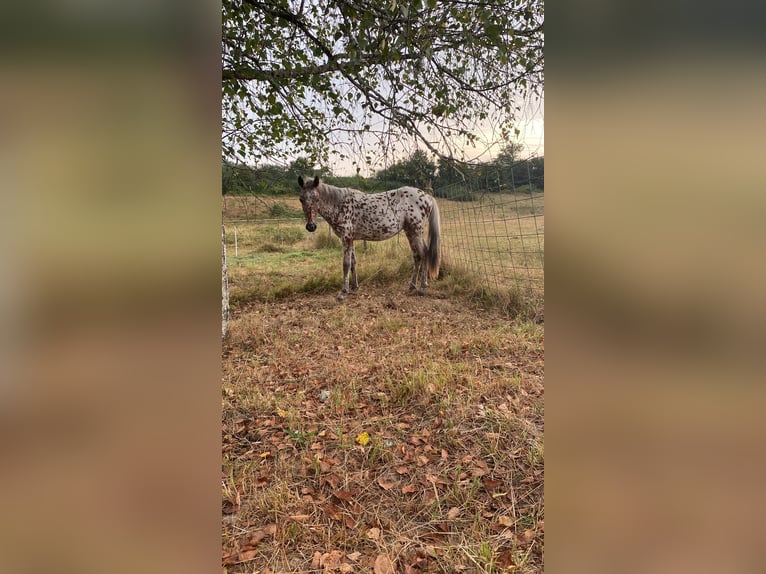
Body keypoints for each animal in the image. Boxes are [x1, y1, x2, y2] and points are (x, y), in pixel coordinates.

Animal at [300, 176, 444, 302]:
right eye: (301, 199)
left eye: (316, 198)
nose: (311, 226)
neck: (340, 205)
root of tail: (426, 196)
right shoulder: (351, 239)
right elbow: (353, 262)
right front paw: (354, 288)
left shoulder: (346, 238)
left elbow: (346, 264)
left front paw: (343, 292)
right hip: (410, 232)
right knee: (417, 256)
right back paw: (411, 287)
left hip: (416, 231)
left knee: (424, 253)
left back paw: (422, 288)